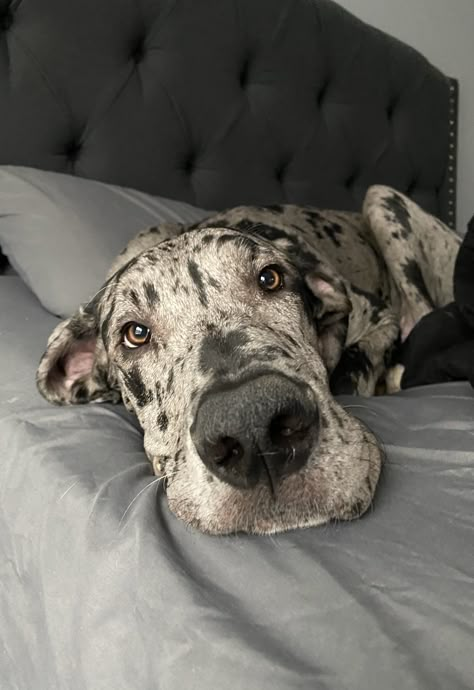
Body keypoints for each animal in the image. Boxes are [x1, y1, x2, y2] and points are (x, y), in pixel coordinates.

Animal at [36, 185, 460, 536]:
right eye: (135, 333)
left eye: (270, 278)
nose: (253, 427)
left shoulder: (380, 317)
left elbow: (355, 368)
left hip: (382, 199)